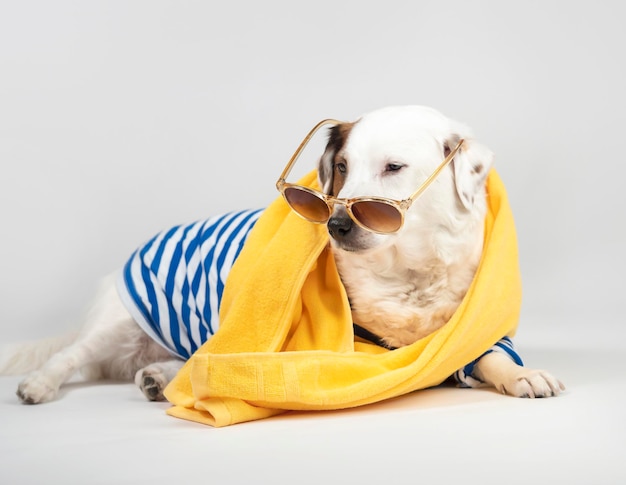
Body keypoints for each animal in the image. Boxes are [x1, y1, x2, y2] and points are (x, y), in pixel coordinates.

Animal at [0, 106, 564, 404]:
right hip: (118, 320)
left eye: (393, 168)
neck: (408, 273)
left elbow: (488, 353)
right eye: (341, 167)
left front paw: (520, 374)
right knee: (71, 355)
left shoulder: (462, 333)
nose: (336, 224)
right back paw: (41, 383)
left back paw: (160, 376)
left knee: (189, 358)